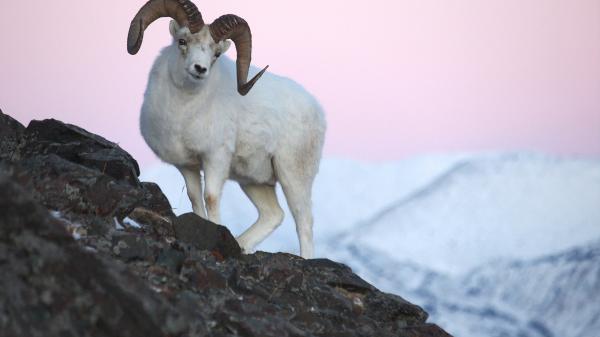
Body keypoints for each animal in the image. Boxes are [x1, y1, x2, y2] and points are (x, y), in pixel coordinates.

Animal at [124, 0, 326, 258]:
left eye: (216, 53)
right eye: (182, 41)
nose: (199, 69)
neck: (182, 114)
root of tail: (317, 109)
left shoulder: (215, 159)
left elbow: (210, 197)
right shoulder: (188, 166)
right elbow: (195, 198)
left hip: (293, 176)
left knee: (304, 222)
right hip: (255, 181)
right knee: (274, 215)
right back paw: (242, 244)